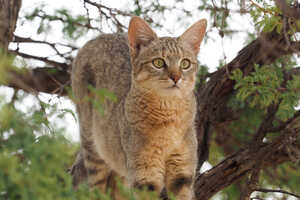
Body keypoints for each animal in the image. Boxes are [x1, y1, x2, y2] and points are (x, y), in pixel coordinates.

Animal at [71, 16, 206, 199]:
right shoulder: (145, 175)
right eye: (158, 62)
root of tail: (99, 37)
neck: (168, 118)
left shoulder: (182, 172)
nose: (176, 77)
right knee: (97, 188)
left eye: (185, 64)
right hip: (93, 148)